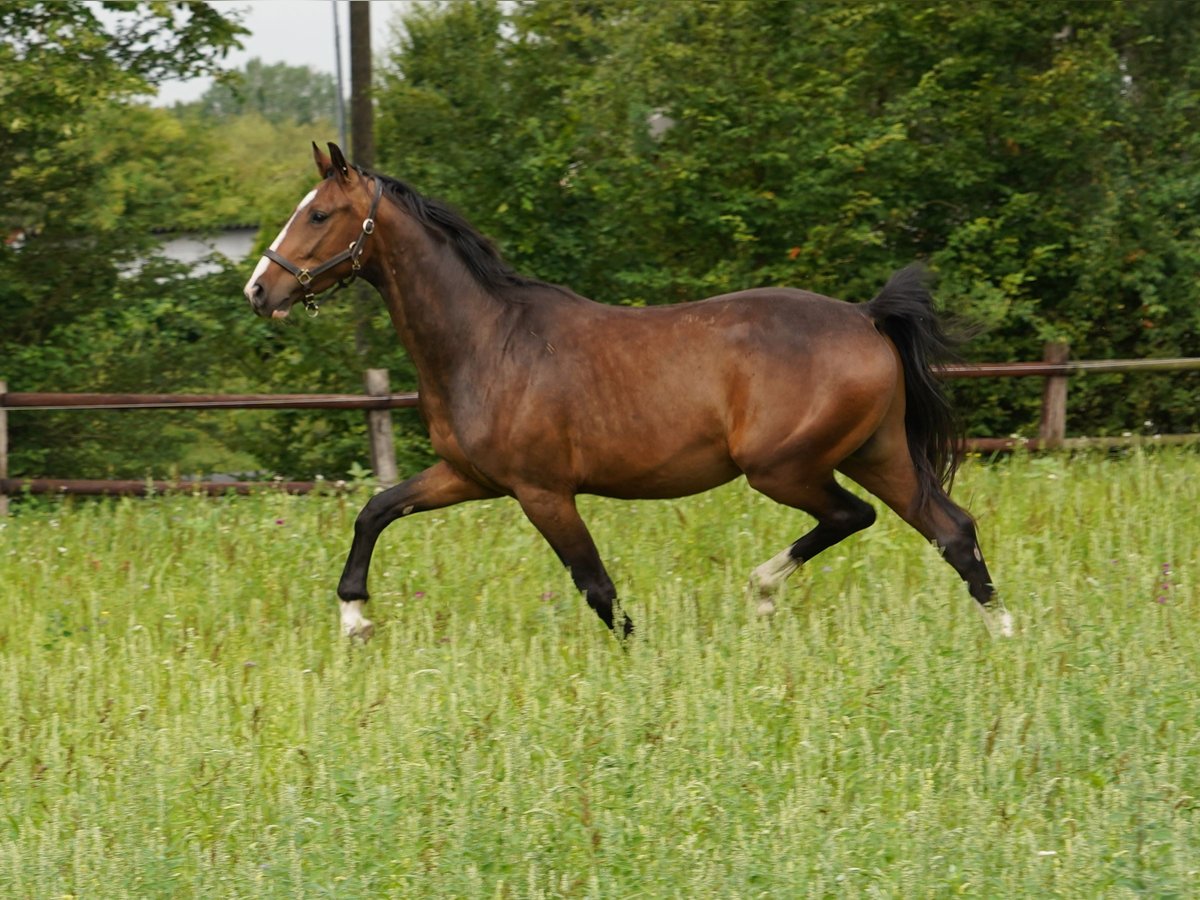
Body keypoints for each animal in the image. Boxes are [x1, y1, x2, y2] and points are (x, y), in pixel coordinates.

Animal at [243, 142, 1012, 643]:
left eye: (318, 216)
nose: (259, 290)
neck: (486, 339)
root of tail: (864, 316)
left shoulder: (542, 492)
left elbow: (595, 586)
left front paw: (638, 655)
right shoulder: (468, 476)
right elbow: (375, 510)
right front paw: (354, 617)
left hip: (785, 468)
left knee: (855, 516)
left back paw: (763, 591)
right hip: (875, 453)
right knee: (951, 529)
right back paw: (1004, 635)